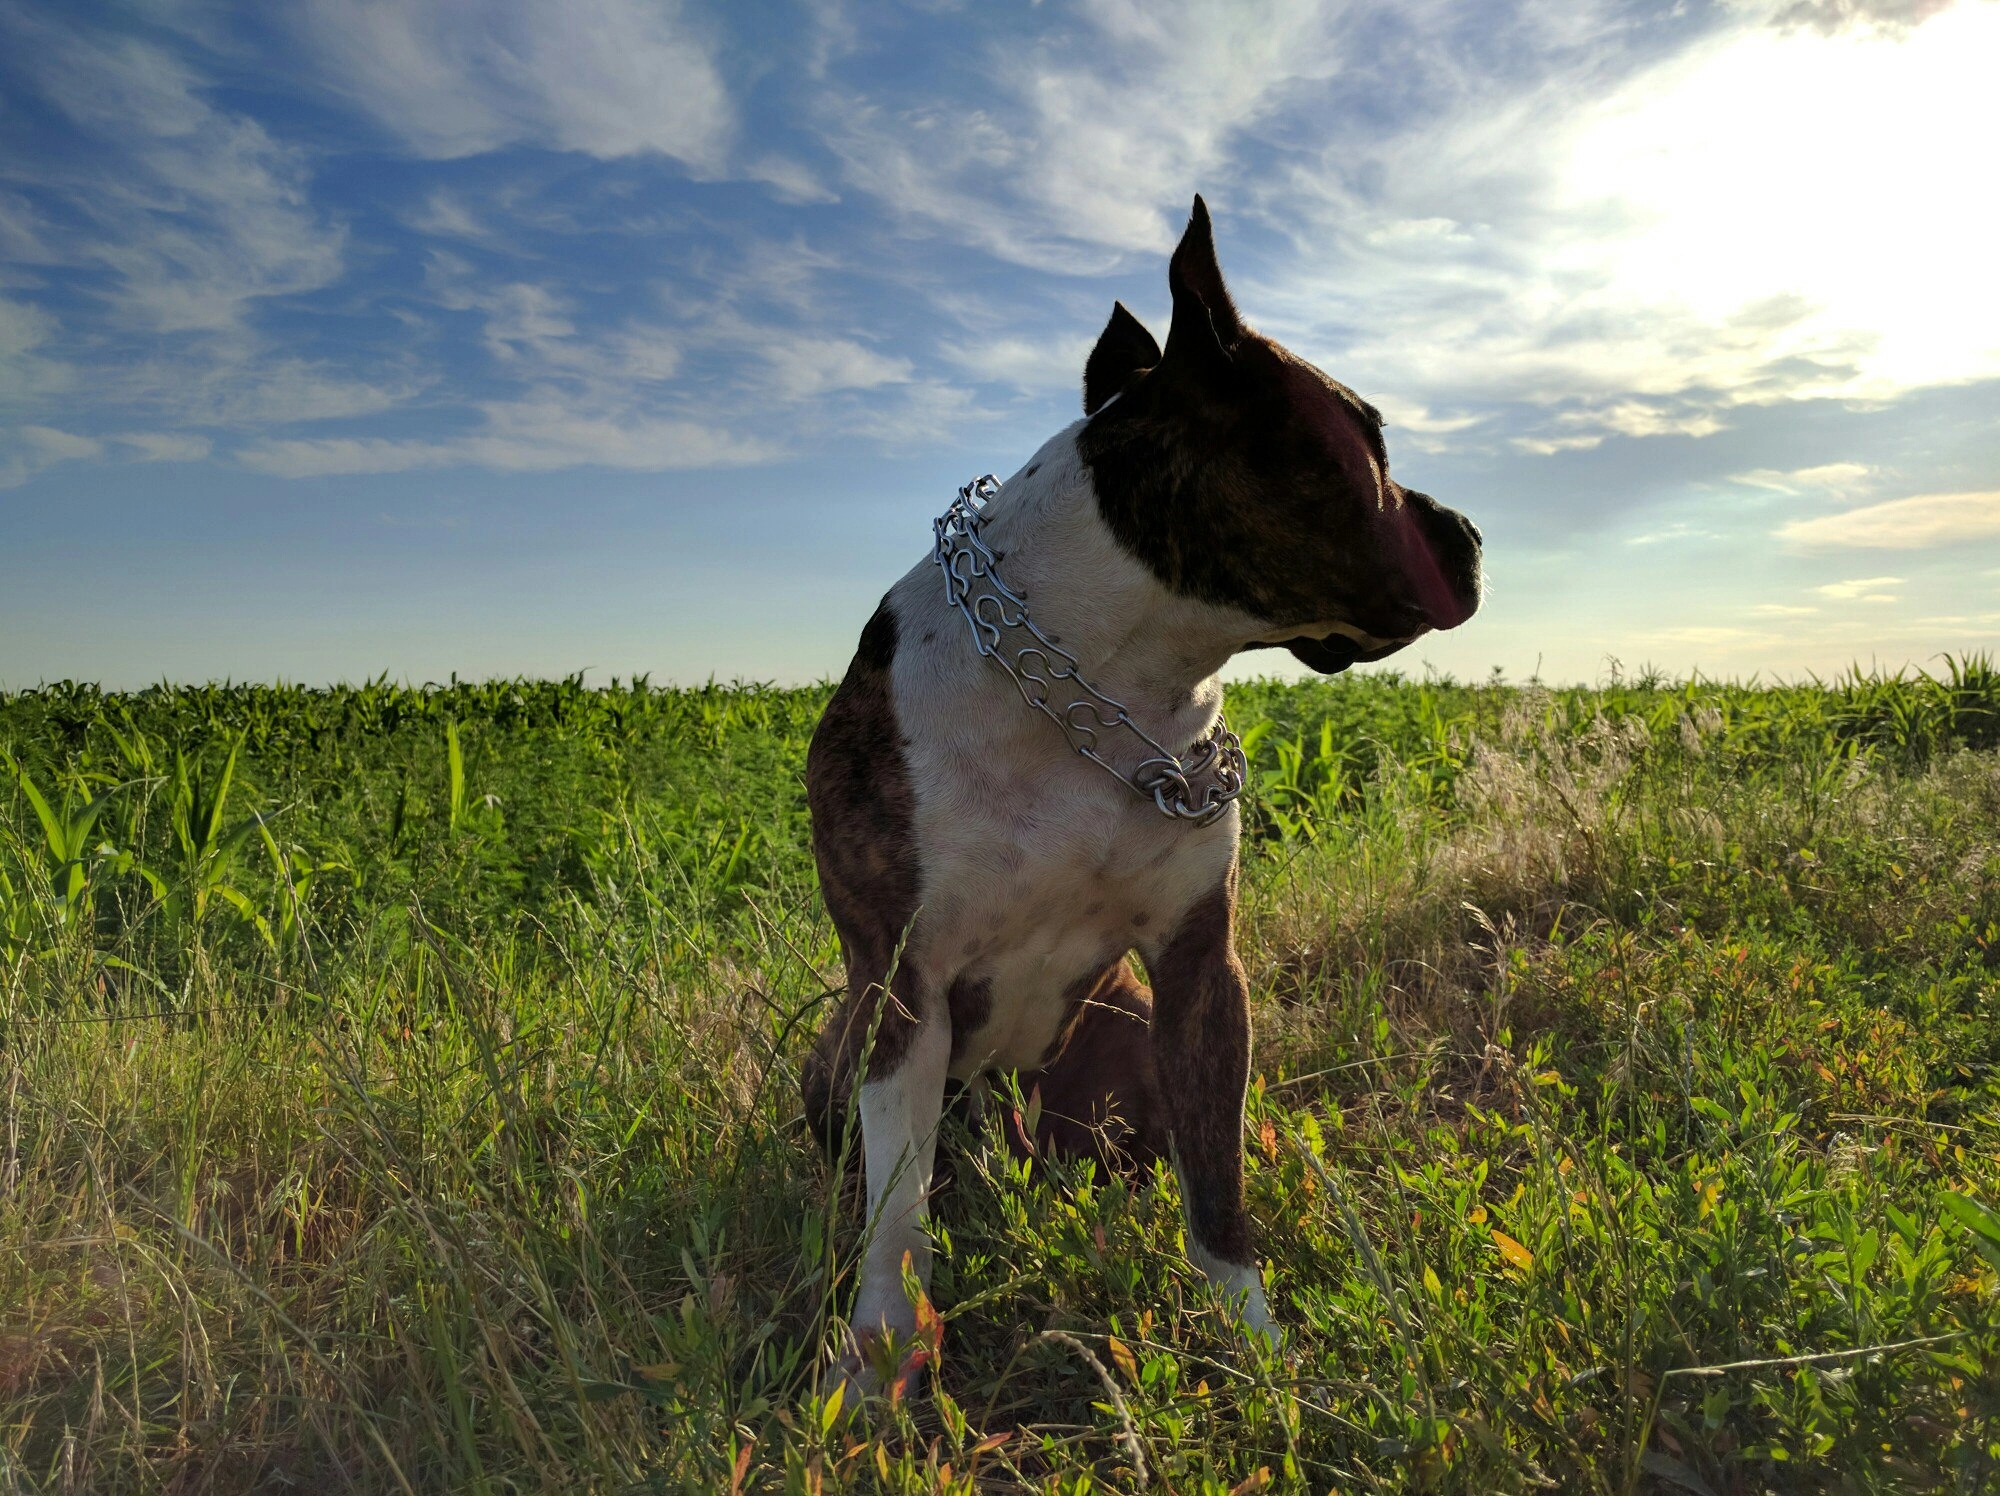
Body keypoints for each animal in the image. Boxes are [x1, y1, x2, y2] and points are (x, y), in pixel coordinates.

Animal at [800, 196, 1488, 1376]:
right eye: (1367, 436)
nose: (1471, 534)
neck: (1100, 677)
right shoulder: (899, 987)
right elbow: (895, 1218)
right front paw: (882, 1355)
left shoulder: (1200, 968)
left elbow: (1216, 1184)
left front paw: (1256, 1344)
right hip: (837, 1047)